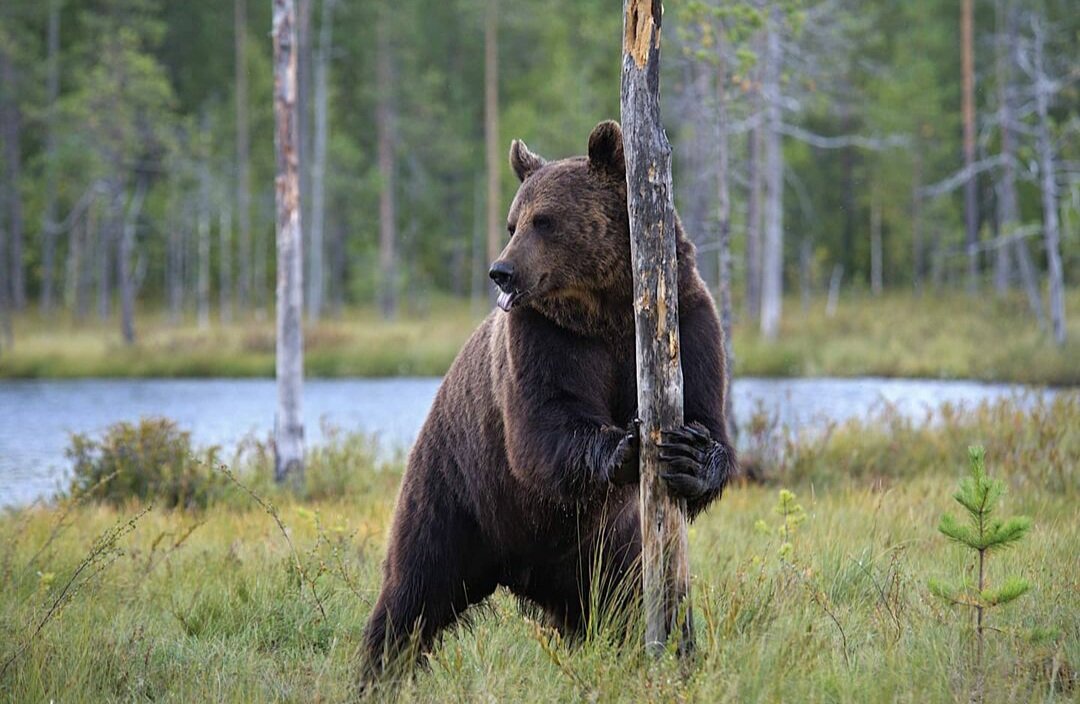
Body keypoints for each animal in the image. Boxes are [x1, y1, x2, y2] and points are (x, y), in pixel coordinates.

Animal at [362, 119, 734, 682]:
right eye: (513, 222)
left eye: (544, 221)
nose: (501, 271)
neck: (609, 311)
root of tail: (515, 568)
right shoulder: (546, 339)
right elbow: (545, 425)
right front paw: (624, 445)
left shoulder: (689, 320)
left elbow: (708, 417)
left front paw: (689, 454)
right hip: (458, 491)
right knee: (415, 587)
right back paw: (380, 669)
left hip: (600, 548)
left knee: (640, 598)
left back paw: (674, 649)